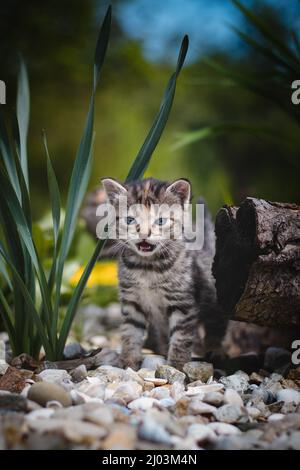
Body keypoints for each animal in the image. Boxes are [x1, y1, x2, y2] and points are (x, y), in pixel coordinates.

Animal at [102, 177, 226, 370]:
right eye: (130, 220)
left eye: (160, 221)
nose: (144, 234)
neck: (147, 267)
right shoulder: (132, 301)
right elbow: (130, 331)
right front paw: (128, 362)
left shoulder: (183, 304)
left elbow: (182, 337)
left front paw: (176, 367)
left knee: (216, 326)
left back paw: (215, 350)